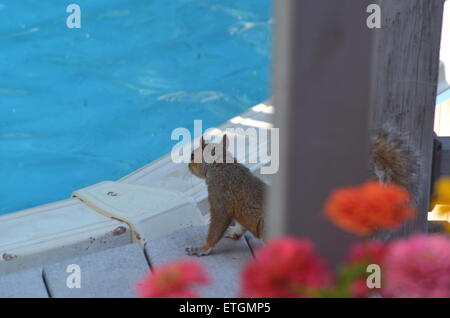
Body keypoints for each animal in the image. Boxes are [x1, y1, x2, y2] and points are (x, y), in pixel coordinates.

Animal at [185, 129, 420, 256]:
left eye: (192, 155)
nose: (187, 166)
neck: (221, 163)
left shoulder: (219, 193)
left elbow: (218, 223)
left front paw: (202, 248)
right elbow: (240, 225)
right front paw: (234, 233)